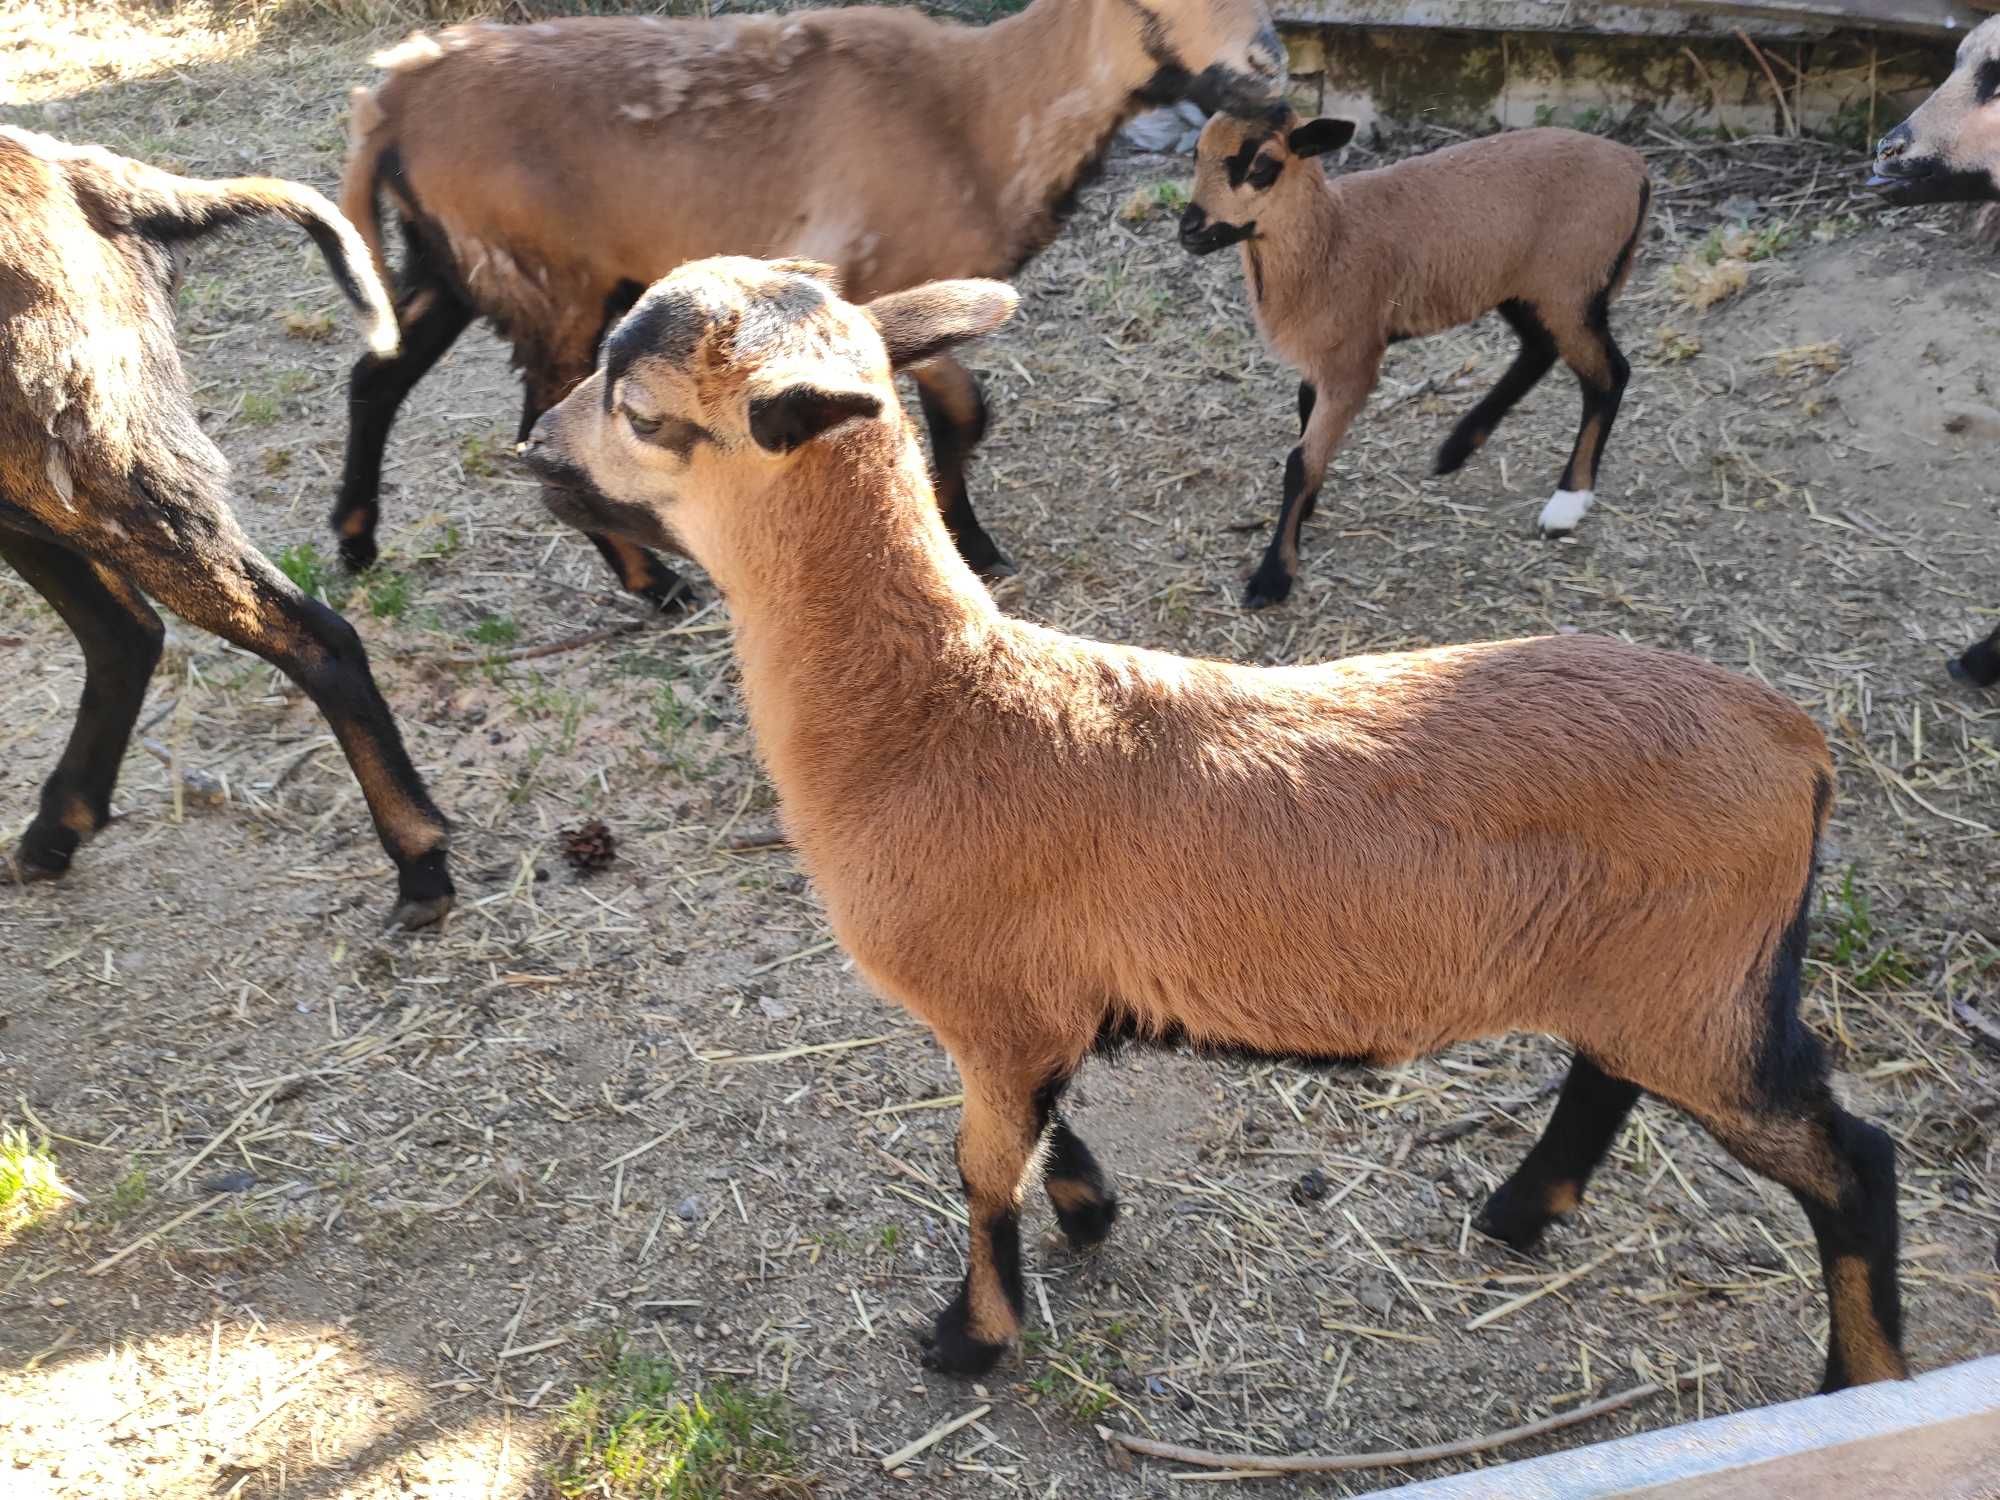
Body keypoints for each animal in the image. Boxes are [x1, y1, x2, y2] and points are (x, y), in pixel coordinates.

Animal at [1, 126, 456, 928]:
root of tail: (90, 181)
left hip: (103, 466)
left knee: (312, 635)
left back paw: (421, 864)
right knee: (126, 633)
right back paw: (54, 833)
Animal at [512, 250, 1904, 1400]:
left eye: (643, 414)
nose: (529, 450)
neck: (935, 711)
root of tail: (1795, 740)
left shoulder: (985, 1001)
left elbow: (978, 1172)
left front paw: (970, 1340)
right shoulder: (1029, 1004)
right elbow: (1038, 1127)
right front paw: (1085, 1210)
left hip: (1706, 987)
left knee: (1851, 1161)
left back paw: (1860, 1377)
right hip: (1650, 973)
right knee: (1605, 1078)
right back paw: (1517, 1214)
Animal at [1176, 107, 1648, 612]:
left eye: (1263, 165)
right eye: (1197, 154)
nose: (1189, 230)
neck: (1331, 236)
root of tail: (1636, 167)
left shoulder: (1352, 362)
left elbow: (1299, 461)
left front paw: (1272, 577)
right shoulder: (1324, 358)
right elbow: (1305, 421)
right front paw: (1305, 514)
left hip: (1571, 287)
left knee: (1608, 375)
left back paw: (1567, 503)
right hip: (1523, 287)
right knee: (1540, 351)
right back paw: (1457, 447)